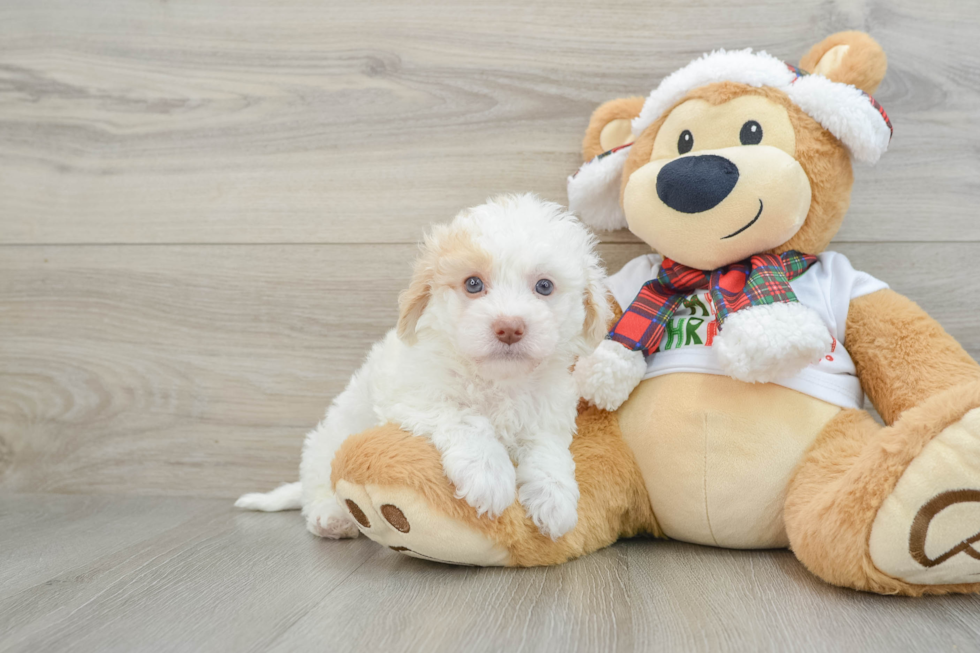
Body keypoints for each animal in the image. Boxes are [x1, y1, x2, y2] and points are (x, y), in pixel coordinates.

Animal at [234, 194, 608, 540]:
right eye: (473, 283)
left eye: (544, 286)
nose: (509, 328)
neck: (497, 380)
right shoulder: (414, 397)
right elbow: (465, 418)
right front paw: (488, 474)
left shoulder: (546, 415)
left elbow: (548, 450)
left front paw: (556, 500)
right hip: (328, 442)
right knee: (318, 484)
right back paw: (332, 517)